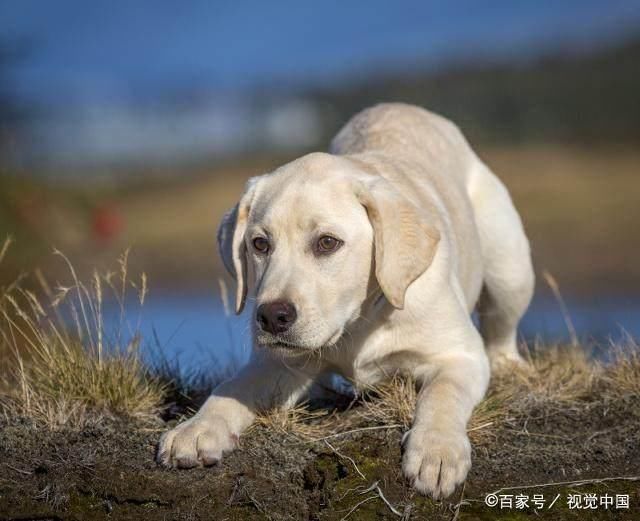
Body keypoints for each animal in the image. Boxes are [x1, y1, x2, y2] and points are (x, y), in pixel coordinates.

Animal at [158, 103, 532, 498]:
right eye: (259, 244)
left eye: (327, 243)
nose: (271, 317)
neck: (358, 322)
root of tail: (404, 107)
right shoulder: (278, 364)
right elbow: (232, 386)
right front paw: (197, 428)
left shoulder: (460, 355)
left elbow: (442, 394)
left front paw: (437, 450)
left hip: (509, 268)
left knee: (501, 330)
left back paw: (508, 365)